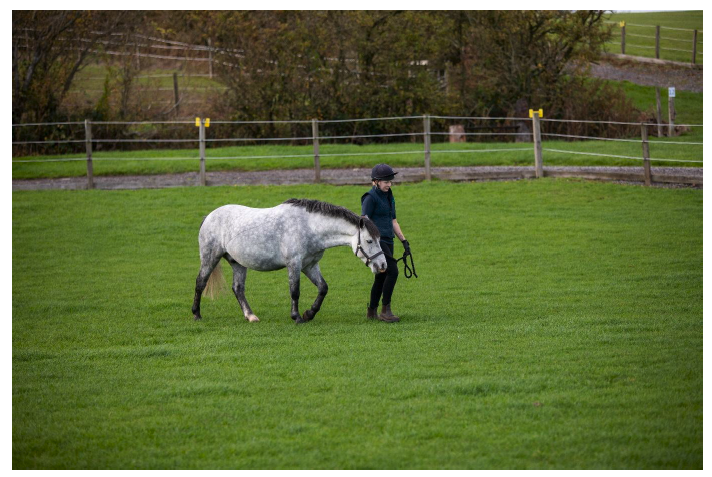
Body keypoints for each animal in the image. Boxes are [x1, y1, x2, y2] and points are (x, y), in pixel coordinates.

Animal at [192, 198, 387, 324]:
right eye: (369, 241)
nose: (383, 265)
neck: (309, 226)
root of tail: (208, 217)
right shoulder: (294, 264)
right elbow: (295, 291)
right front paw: (297, 317)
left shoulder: (310, 266)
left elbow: (323, 288)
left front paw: (309, 313)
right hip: (210, 257)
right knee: (200, 283)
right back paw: (196, 314)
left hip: (238, 263)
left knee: (238, 289)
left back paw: (251, 316)